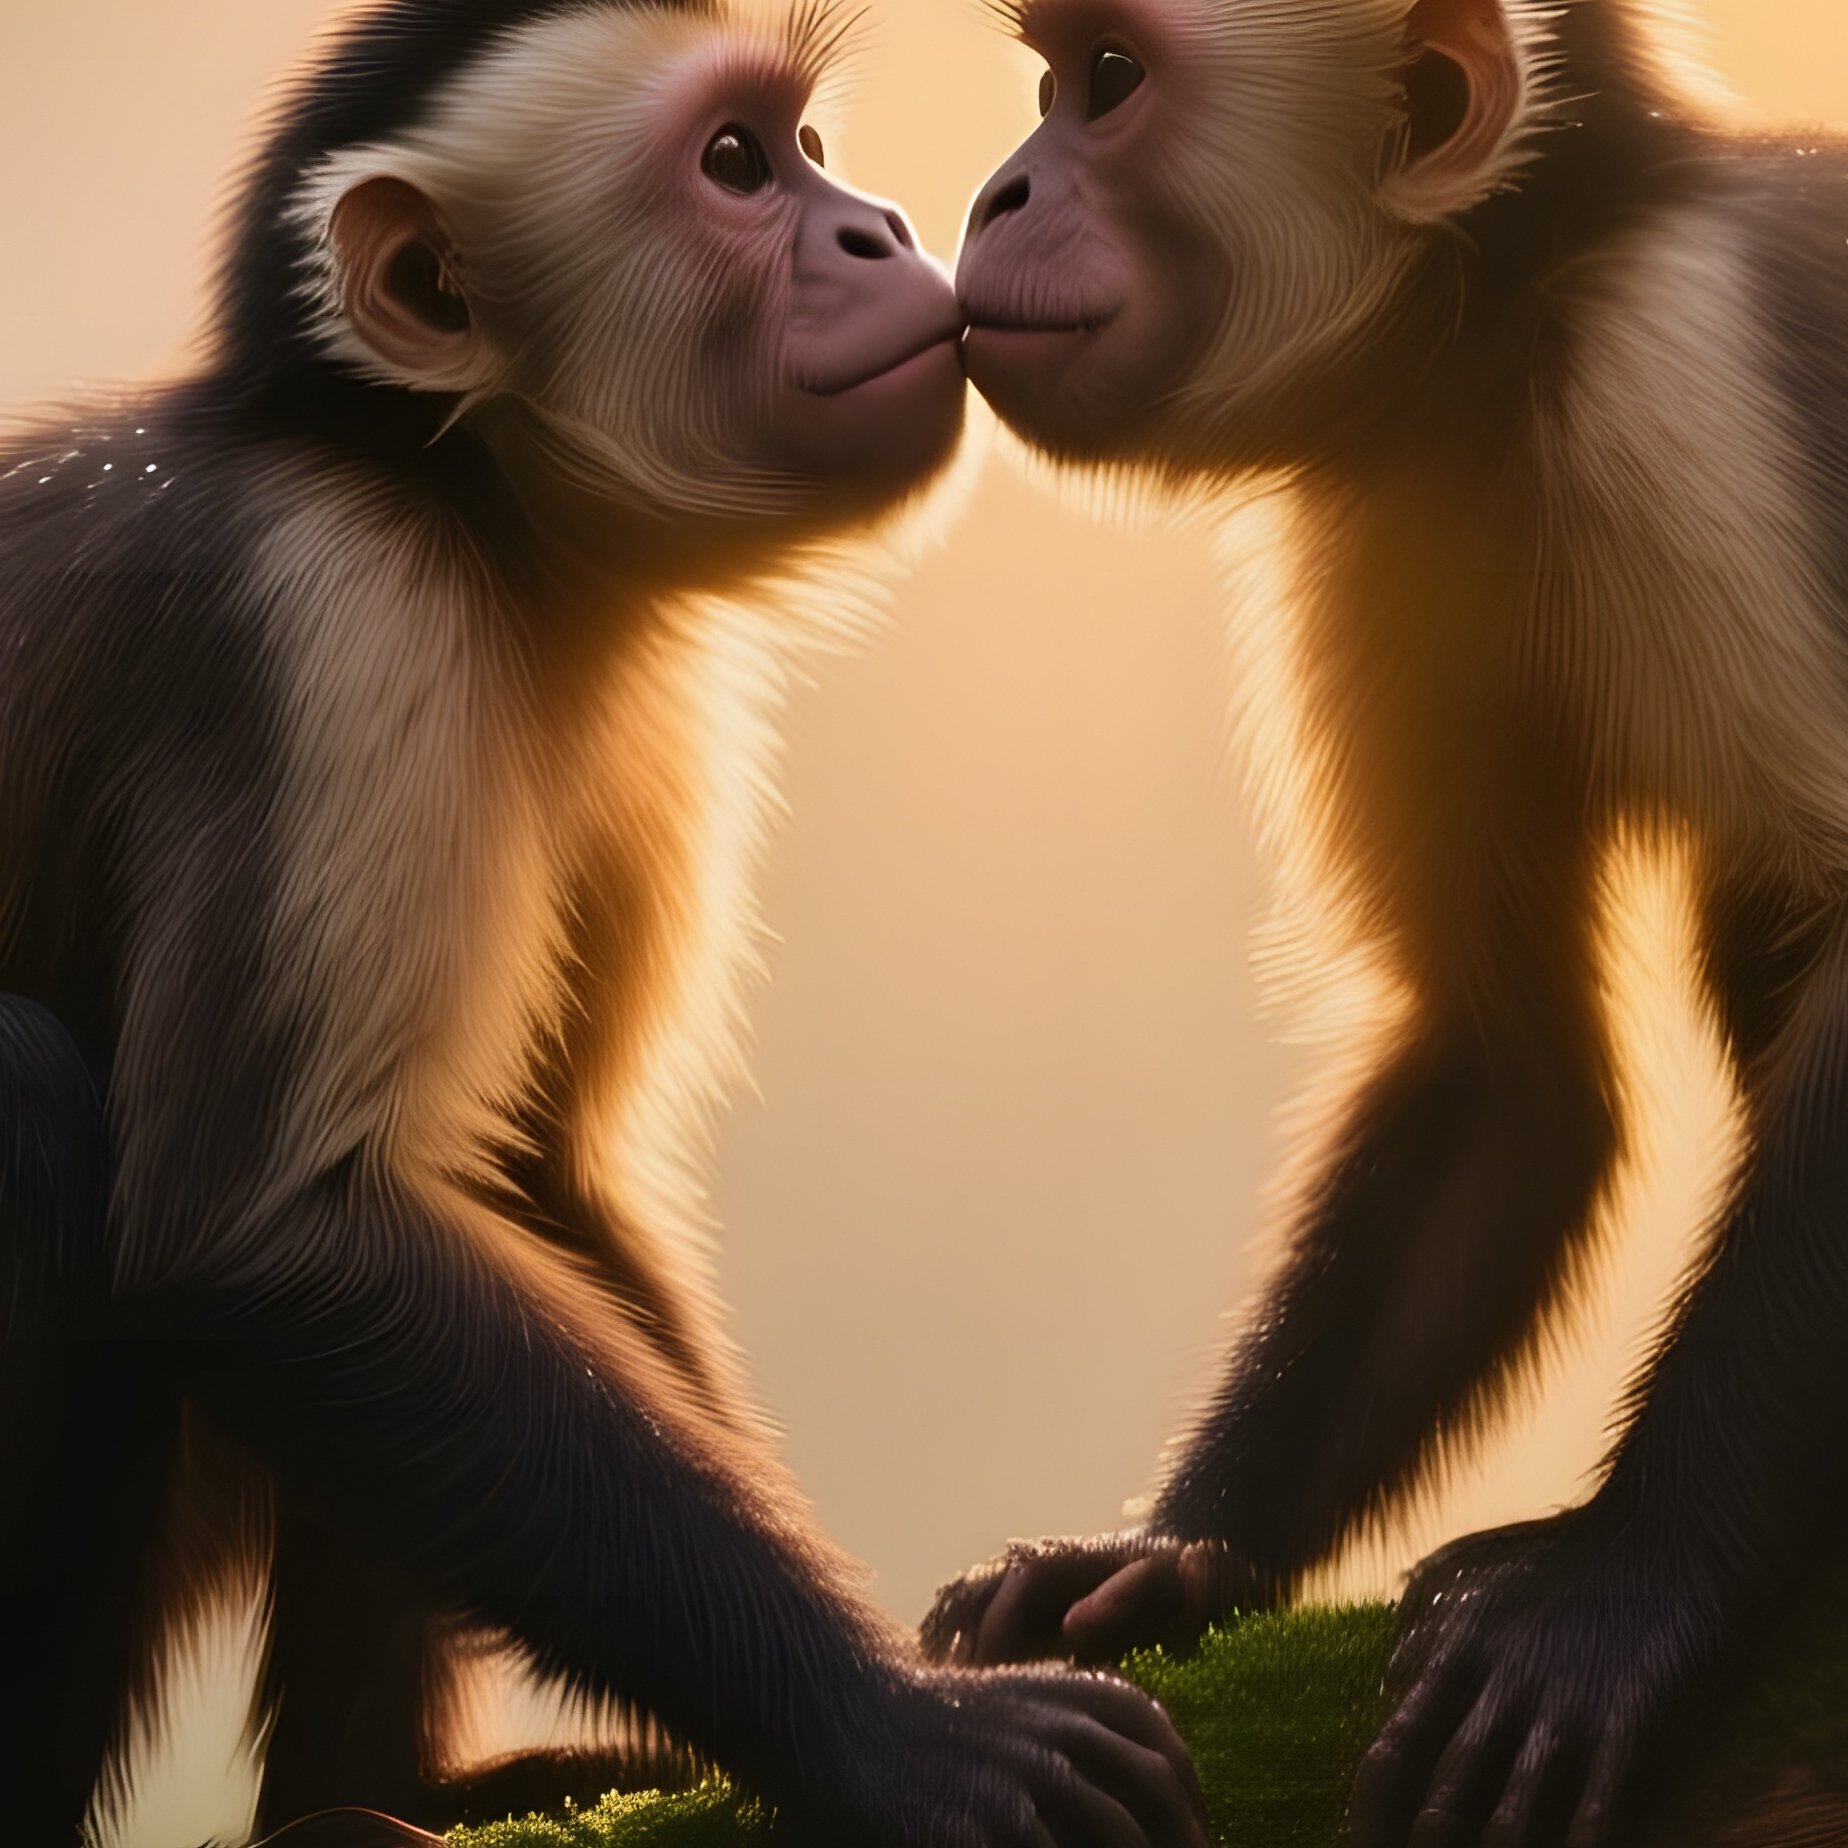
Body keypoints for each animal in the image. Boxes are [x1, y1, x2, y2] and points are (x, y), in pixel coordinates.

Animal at [0, 3, 1215, 1844]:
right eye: (735, 166)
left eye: (807, 147)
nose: (879, 229)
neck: (458, 506)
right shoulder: (328, 608)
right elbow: (263, 1235)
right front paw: (894, 1730)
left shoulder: (630, 696)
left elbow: (527, 1173)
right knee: (48, 1106)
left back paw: (373, 1795)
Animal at [917, 0, 1848, 1841]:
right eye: (1050, 78)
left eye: (1107, 83)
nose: (996, 191)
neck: (1522, 318)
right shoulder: (1399, 508)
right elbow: (1504, 1055)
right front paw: (1168, 1560)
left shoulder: (1689, 370)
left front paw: (1621, 1588)